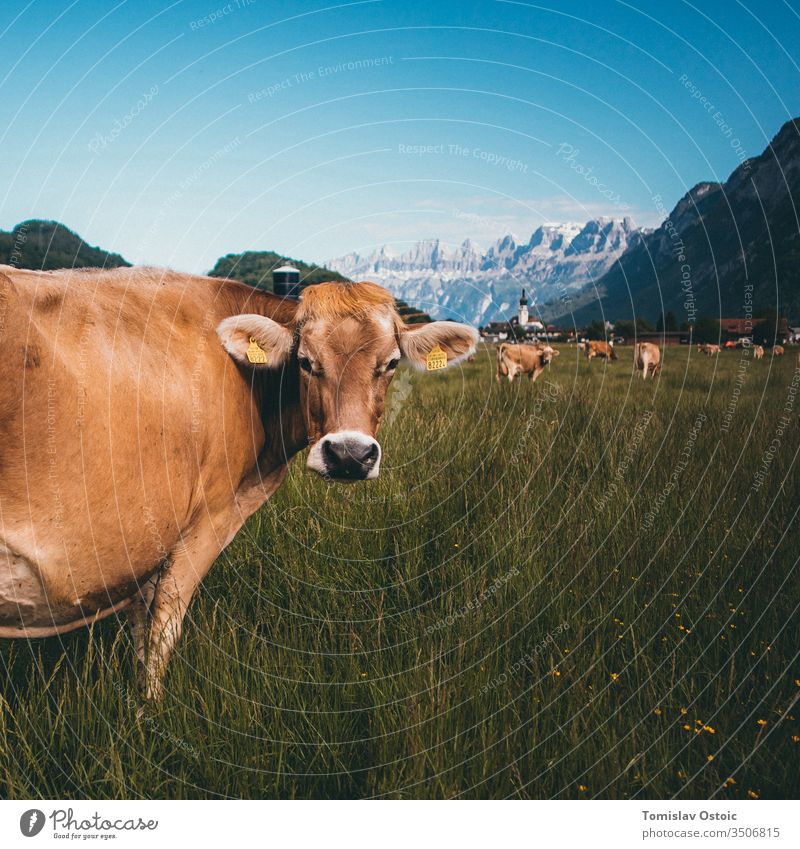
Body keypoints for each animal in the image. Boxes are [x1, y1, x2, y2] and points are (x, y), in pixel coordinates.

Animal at [0, 268, 476, 700]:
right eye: (306, 361)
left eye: (391, 363)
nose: (349, 455)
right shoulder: (205, 520)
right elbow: (162, 630)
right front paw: (148, 718)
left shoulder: (145, 540)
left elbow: (140, 625)